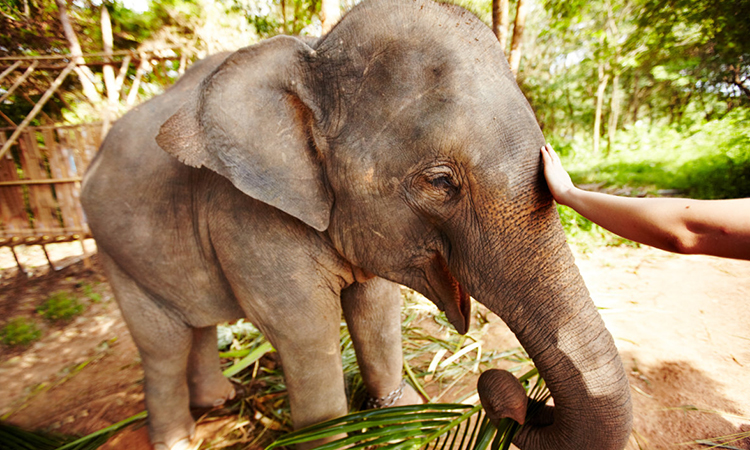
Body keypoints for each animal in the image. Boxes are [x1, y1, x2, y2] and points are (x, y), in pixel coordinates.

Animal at [82, 0, 636, 450]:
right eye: (440, 182)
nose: (496, 384)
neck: (315, 51)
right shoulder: (245, 217)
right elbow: (305, 336)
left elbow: (377, 310)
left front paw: (397, 415)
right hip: (113, 250)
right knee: (163, 345)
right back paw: (180, 437)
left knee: (195, 324)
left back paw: (219, 400)